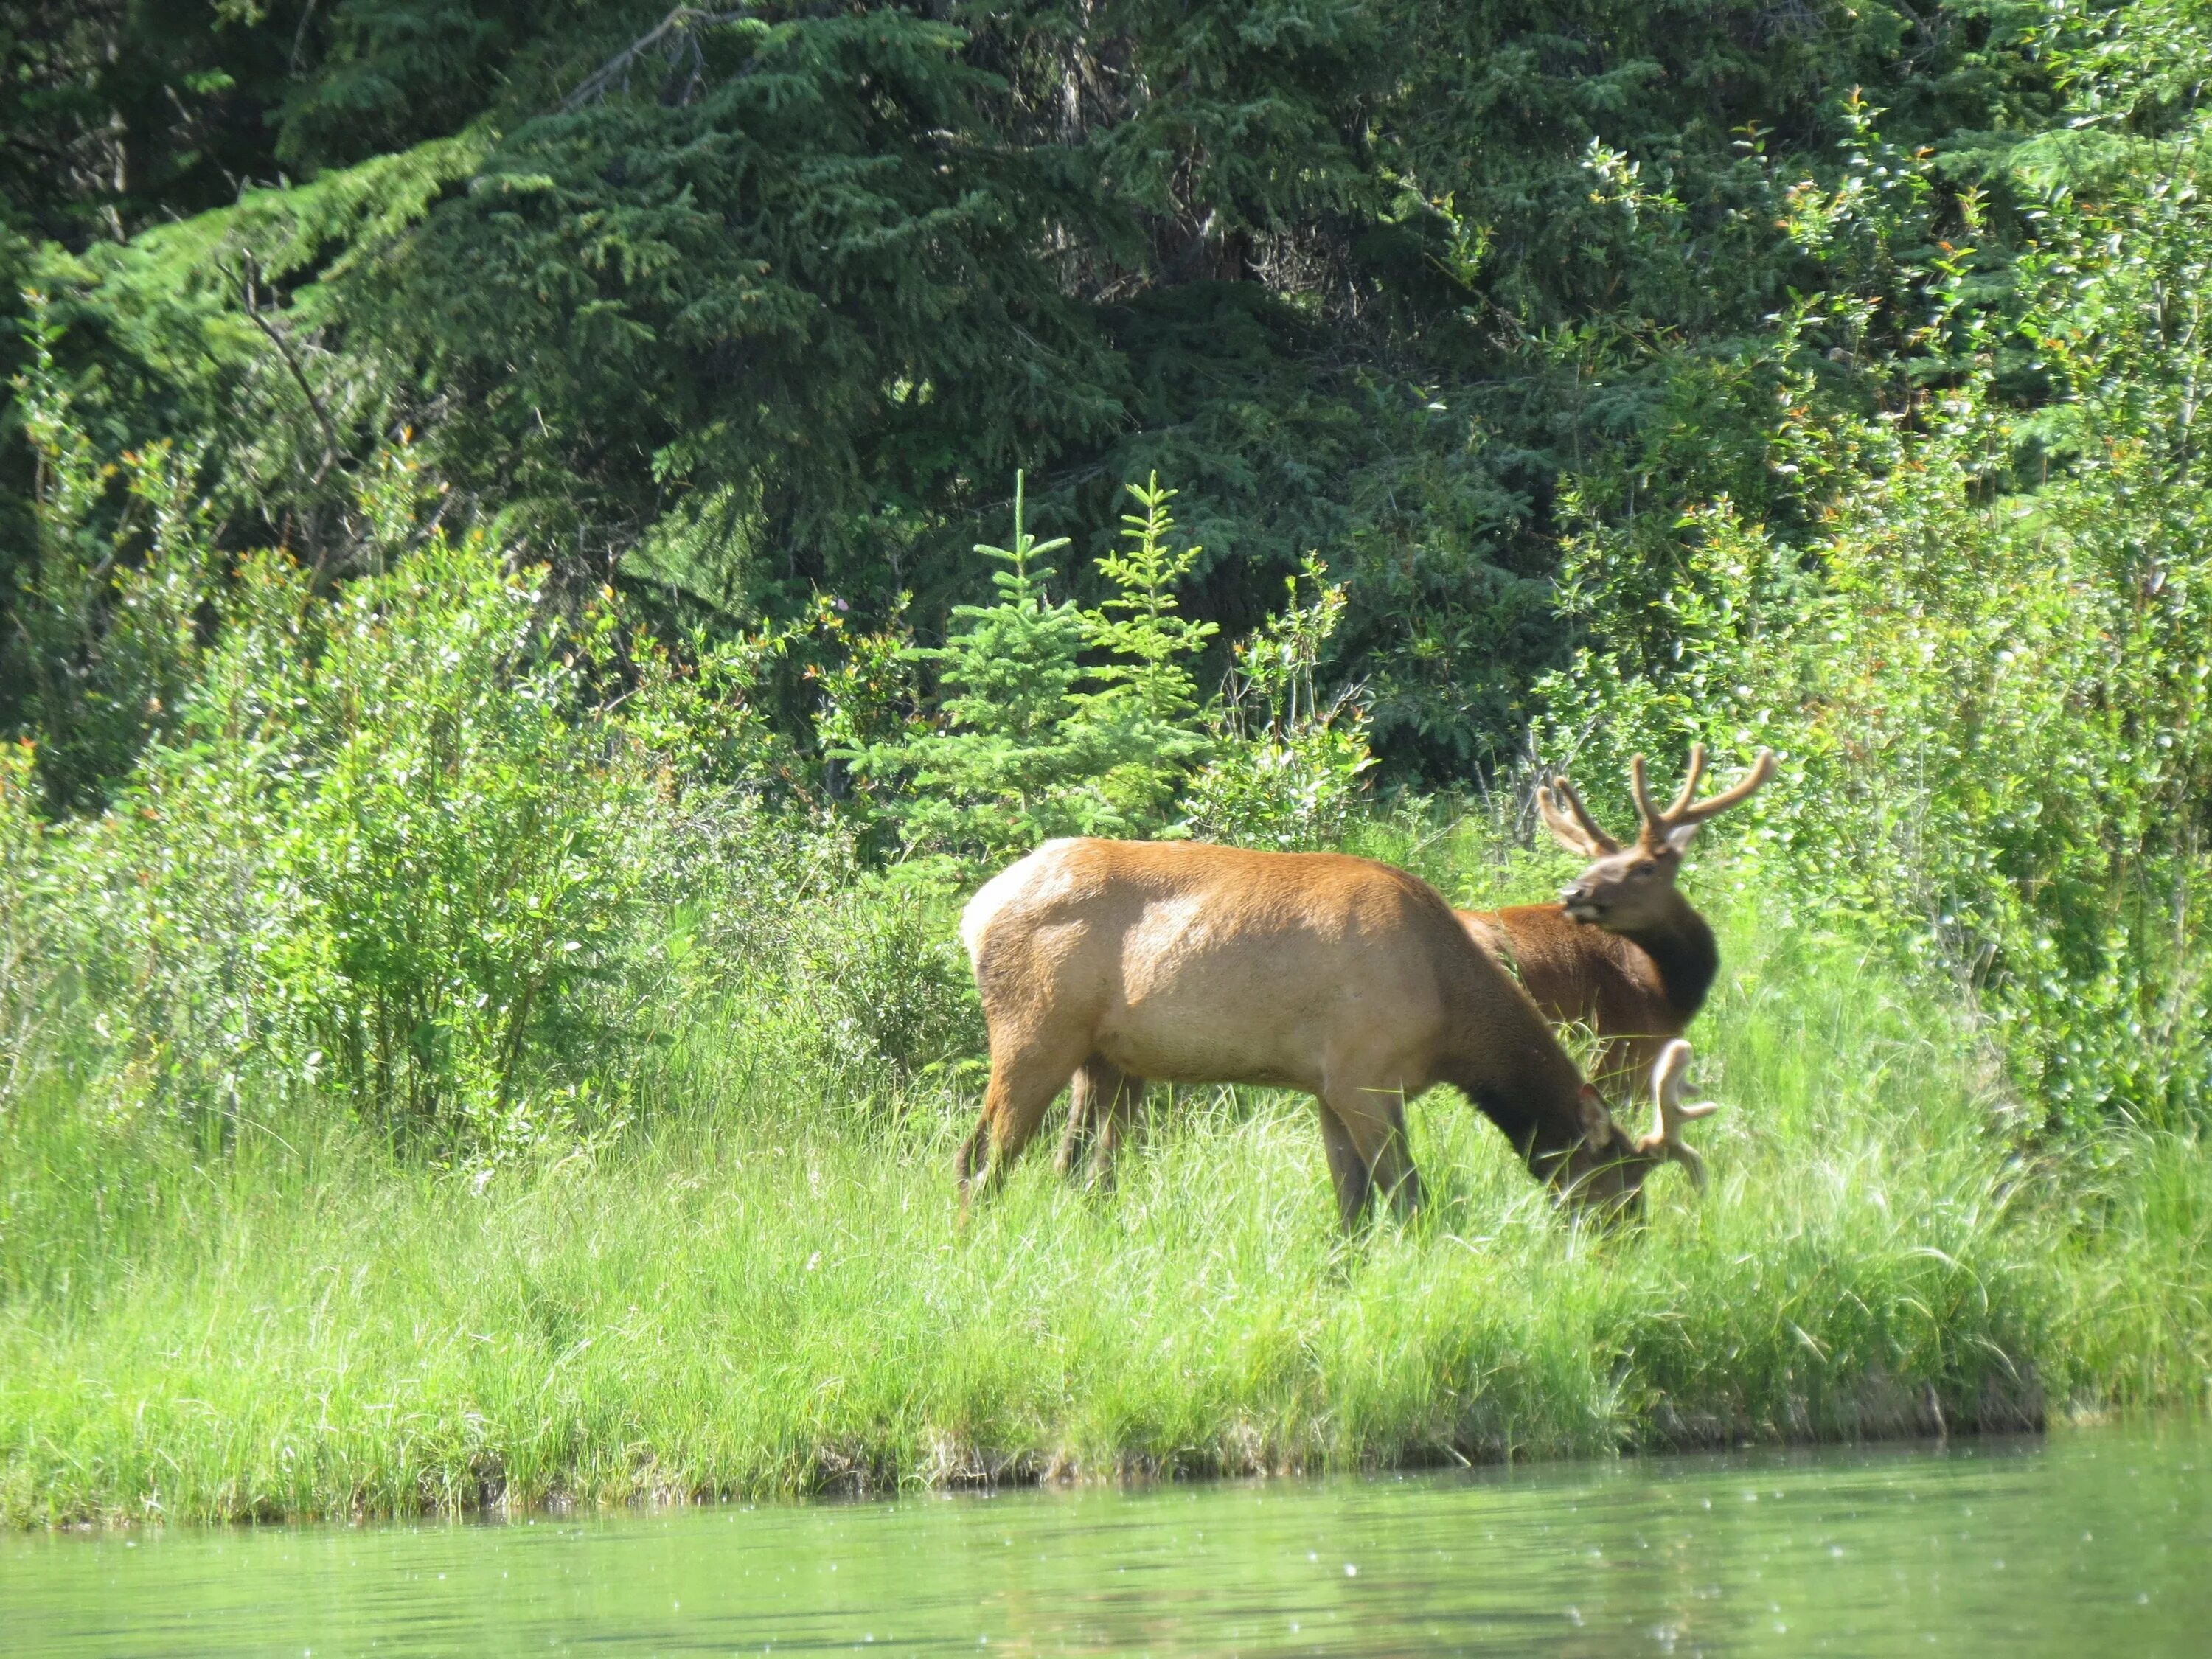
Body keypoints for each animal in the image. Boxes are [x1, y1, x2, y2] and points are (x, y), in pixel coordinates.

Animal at [951, 836, 1708, 1230]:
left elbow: (1352, 1208)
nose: (1627, 1248)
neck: (1450, 1014)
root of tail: (974, 912)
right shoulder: (1365, 1077)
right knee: (979, 1161)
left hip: (1104, 1057)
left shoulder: (1327, 1087)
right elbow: (1408, 1200)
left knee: (1073, 1169)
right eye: (1620, 1192)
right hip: (1034, 1034)